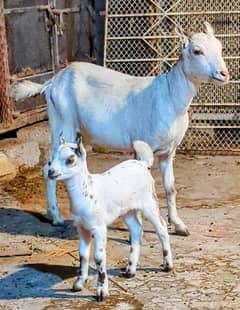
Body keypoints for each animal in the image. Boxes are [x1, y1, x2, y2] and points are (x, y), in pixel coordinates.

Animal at [12, 22, 229, 235]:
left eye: (220, 47)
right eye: (197, 51)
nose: (224, 74)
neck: (169, 95)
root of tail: (51, 82)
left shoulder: (169, 151)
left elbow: (170, 187)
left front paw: (179, 225)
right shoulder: (142, 145)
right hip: (62, 123)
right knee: (48, 166)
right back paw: (56, 217)